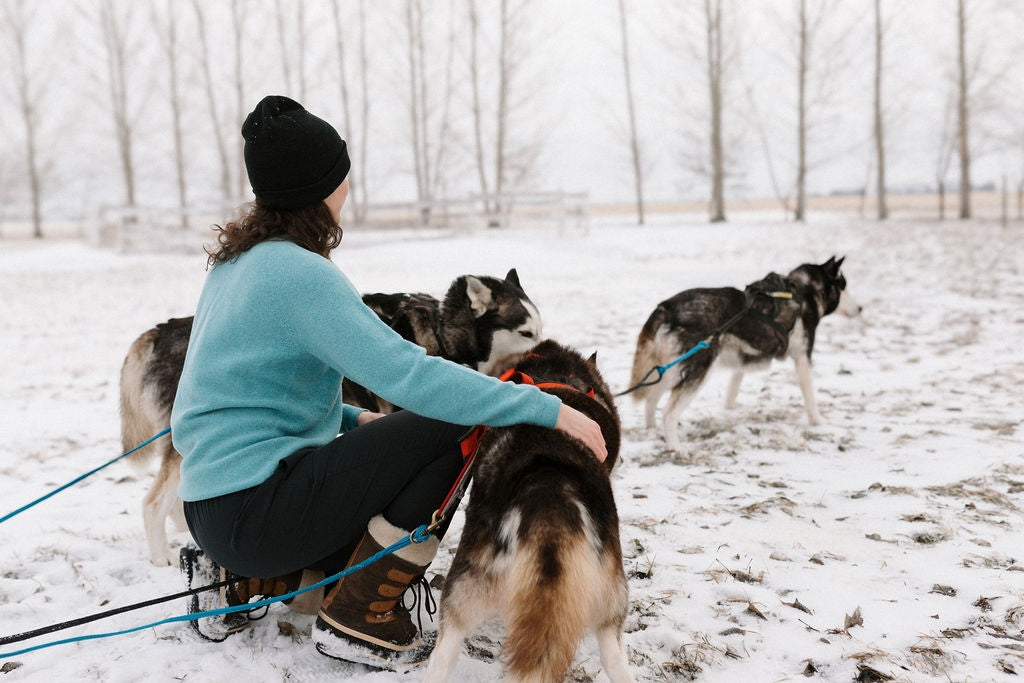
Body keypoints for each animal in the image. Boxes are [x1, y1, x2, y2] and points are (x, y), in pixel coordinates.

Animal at [119, 268, 544, 565]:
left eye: (539, 329)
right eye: (525, 332)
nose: (548, 349)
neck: (444, 334)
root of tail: (161, 330)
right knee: (152, 503)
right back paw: (159, 555)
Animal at [626, 255, 860, 454]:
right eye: (844, 286)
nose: (861, 309)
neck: (805, 292)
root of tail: (666, 307)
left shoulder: (743, 359)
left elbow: (734, 386)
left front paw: (730, 408)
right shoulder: (803, 357)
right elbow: (809, 394)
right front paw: (818, 421)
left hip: (668, 369)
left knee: (651, 399)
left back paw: (652, 431)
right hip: (699, 371)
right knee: (668, 413)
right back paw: (677, 447)